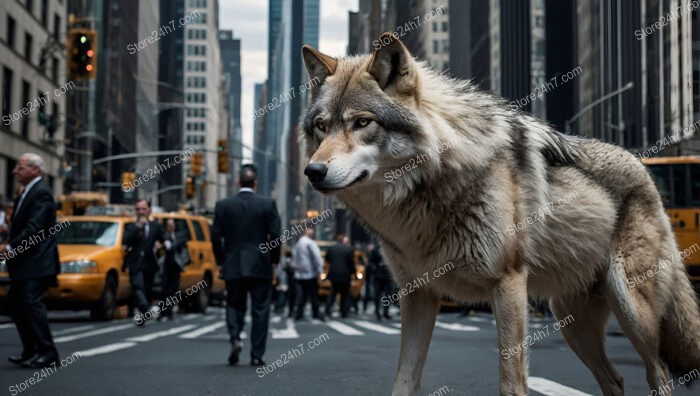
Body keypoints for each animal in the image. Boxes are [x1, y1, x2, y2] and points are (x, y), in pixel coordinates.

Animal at [298, 32, 700, 394]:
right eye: (321, 127)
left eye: (362, 123)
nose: (312, 172)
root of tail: (644, 170)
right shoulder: (418, 296)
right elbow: (404, 382)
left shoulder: (508, 285)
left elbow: (511, 382)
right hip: (570, 321)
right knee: (615, 380)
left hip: (631, 310)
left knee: (660, 372)